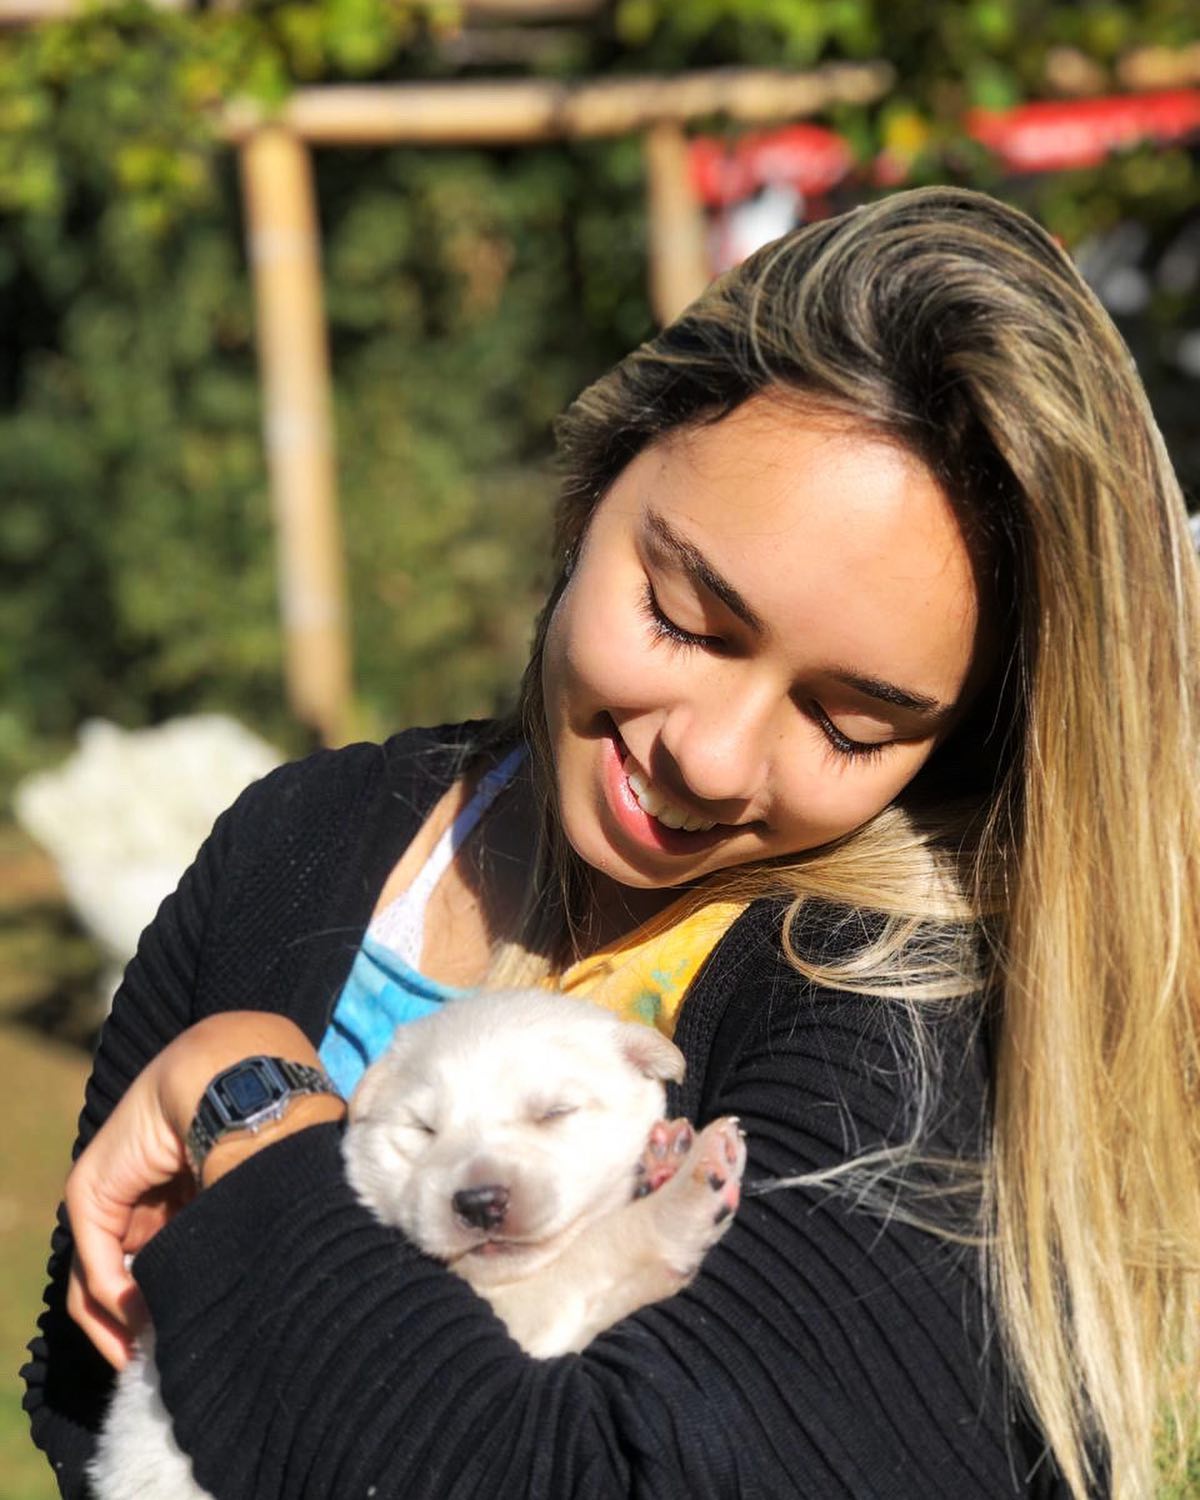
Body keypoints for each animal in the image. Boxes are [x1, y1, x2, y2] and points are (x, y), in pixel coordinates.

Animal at [89, 990, 746, 1498]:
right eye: (422, 1129)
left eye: (555, 1112)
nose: (479, 1202)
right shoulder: (527, 1315)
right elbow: (600, 1250)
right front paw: (688, 1187)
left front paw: (667, 1160)